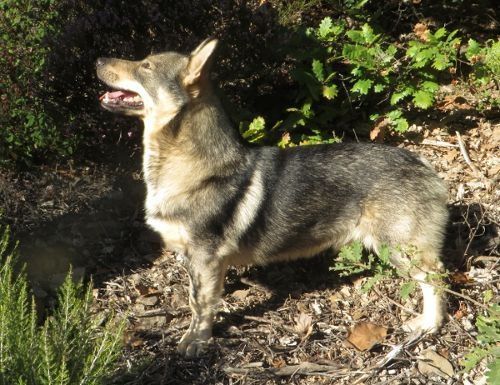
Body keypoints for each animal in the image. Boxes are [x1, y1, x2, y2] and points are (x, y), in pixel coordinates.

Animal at [96, 39, 450, 356]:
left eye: (145, 66)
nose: (98, 59)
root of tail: (421, 163)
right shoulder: (205, 263)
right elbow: (208, 296)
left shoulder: (203, 258)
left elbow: (200, 306)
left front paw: (196, 341)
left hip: (400, 249)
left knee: (436, 280)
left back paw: (429, 324)